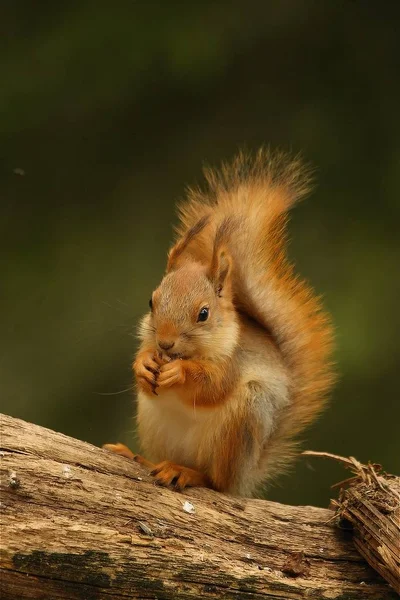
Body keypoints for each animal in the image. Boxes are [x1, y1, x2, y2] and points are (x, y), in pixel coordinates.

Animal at [103, 150, 334, 496]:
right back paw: (138, 457)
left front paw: (179, 372)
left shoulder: (233, 363)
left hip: (242, 423)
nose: (165, 343)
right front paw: (144, 365)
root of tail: (246, 477)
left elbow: (212, 386)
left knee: (216, 483)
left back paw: (186, 473)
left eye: (204, 314)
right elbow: (143, 363)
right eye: (151, 302)